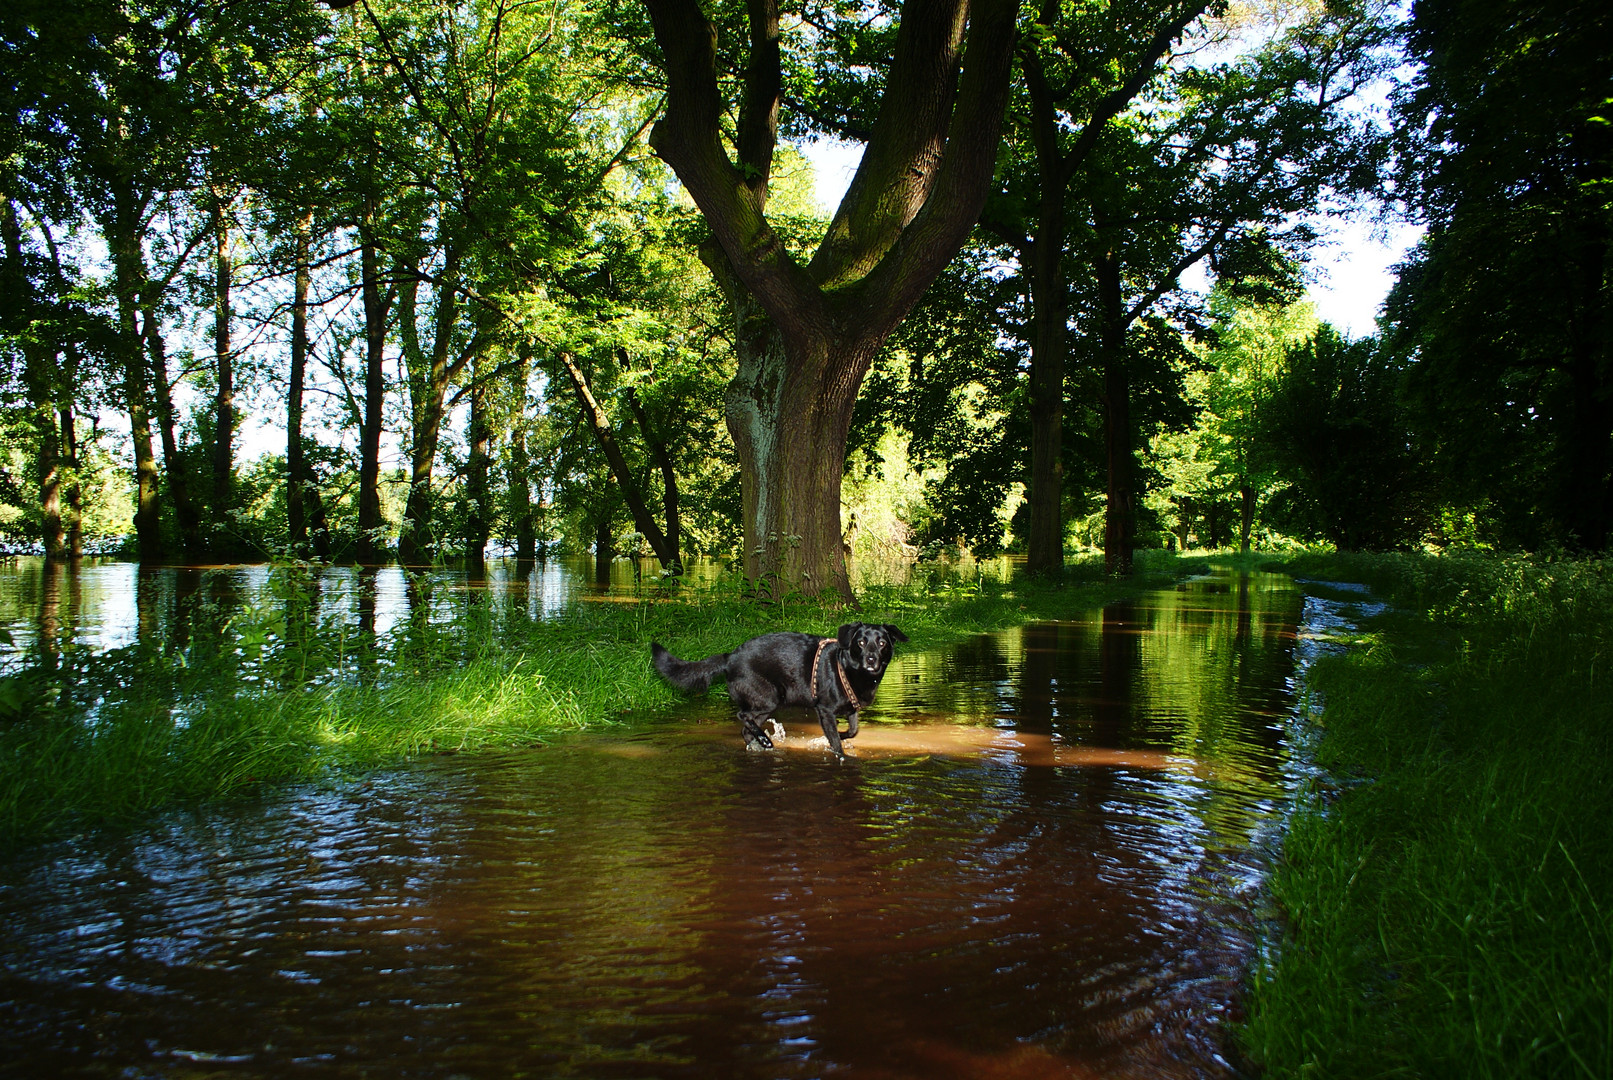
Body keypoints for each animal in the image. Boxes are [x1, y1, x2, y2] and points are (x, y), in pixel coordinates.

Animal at [651, 625, 909, 760]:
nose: (871, 659)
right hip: (768, 698)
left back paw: (759, 742)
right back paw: (765, 739)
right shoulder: (825, 710)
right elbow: (836, 742)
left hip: (766, 705)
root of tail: (729, 657)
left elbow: (853, 731)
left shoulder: (851, 710)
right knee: (742, 716)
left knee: (746, 729)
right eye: (861, 643)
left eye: (882, 643)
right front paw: (839, 751)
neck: (847, 667)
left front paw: (842, 735)